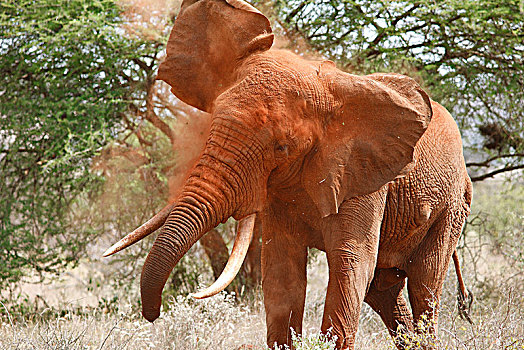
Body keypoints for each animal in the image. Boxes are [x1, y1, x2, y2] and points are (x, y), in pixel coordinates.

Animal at [104, 1, 472, 348]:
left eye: (281, 148)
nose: (153, 315)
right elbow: (282, 269)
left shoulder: (362, 176)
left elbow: (349, 262)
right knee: (384, 292)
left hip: (452, 208)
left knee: (424, 284)